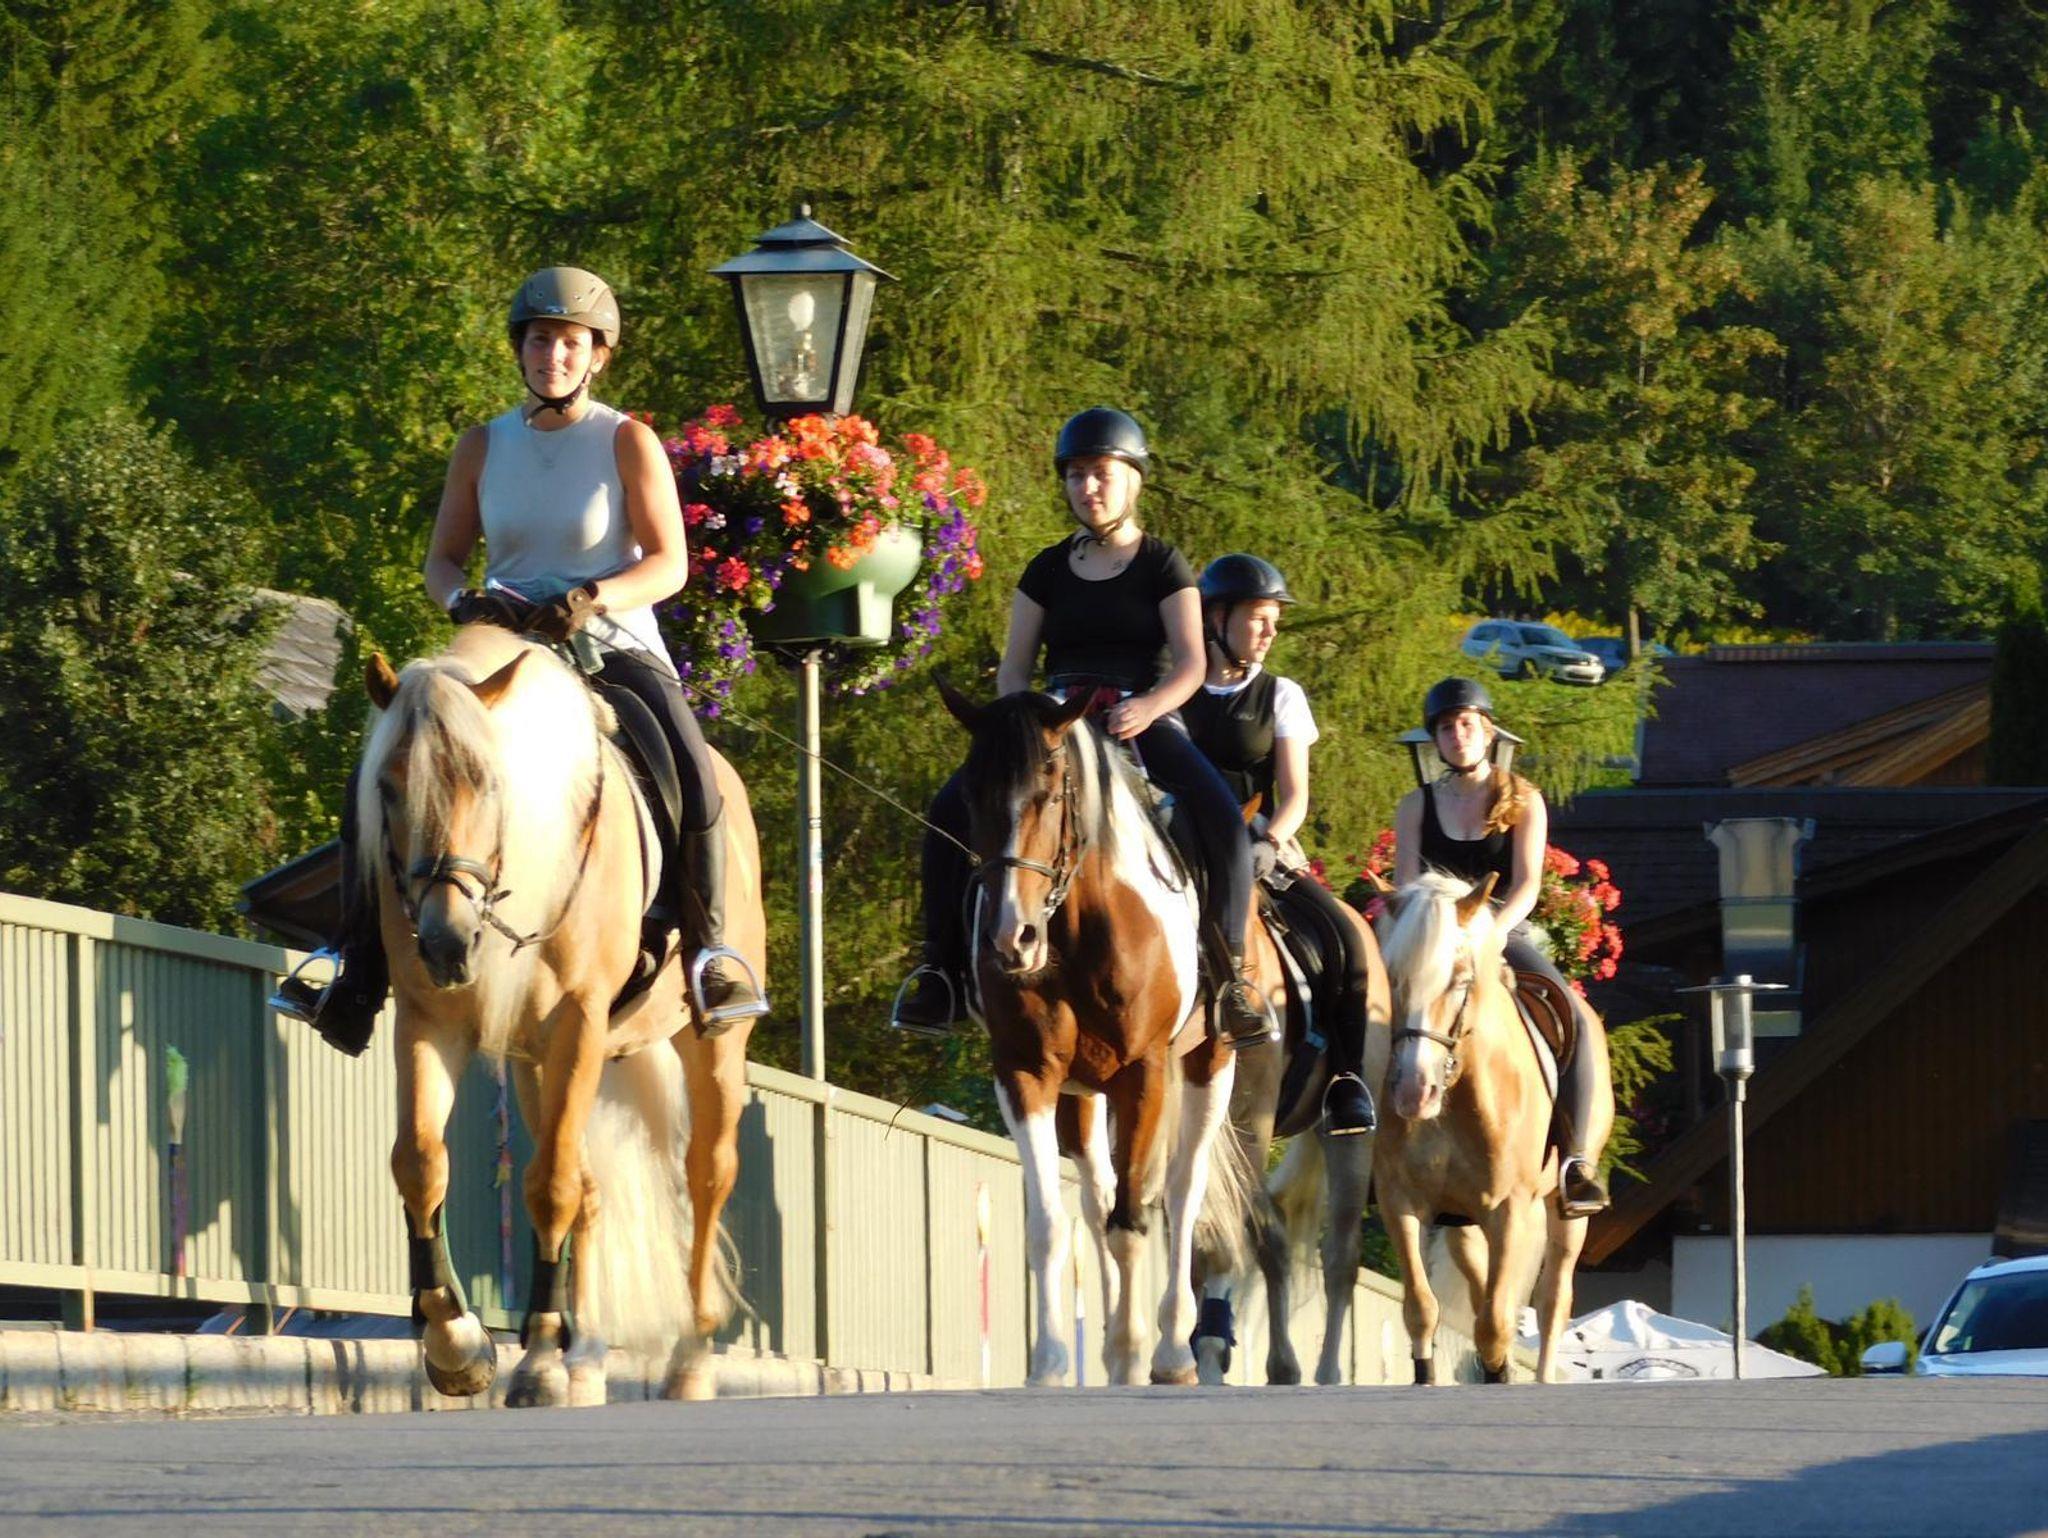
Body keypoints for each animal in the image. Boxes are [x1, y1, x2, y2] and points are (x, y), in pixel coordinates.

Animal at [361, 623, 763, 1407]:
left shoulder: (578, 1020)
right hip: (539, 1063)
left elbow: (548, 1187)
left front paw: (536, 1358)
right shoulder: (431, 1020)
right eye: (387, 787)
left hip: (710, 1045)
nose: (447, 942)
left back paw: (691, 1359)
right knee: (591, 1186)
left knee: (706, 1172)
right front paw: (460, 1345)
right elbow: (421, 1162)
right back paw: (585, 1358)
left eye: (486, 780)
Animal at [937, 682, 1253, 1386]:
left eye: (1050, 793)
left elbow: (1132, 1222)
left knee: (1180, 1192)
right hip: (1083, 1091)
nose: (1011, 938)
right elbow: (1050, 1226)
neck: (1079, 923)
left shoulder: (1145, 1073)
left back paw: (1171, 1349)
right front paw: (1051, 1364)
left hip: (1209, 1063)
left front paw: (1138, 1355)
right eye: (970, 797)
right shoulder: (1026, 1073)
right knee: (1096, 1196)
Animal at [1371, 871, 1613, 1383]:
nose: (1412, 1091)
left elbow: (1496, 1324)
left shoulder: (1510, 1209)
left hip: (1564, 1212)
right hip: (1463, 1220)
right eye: (1393, 977)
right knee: (1477, 1280)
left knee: (1552, 1301)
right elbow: (1422, 1310)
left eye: (1459, 980)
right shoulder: (1401, 1201)